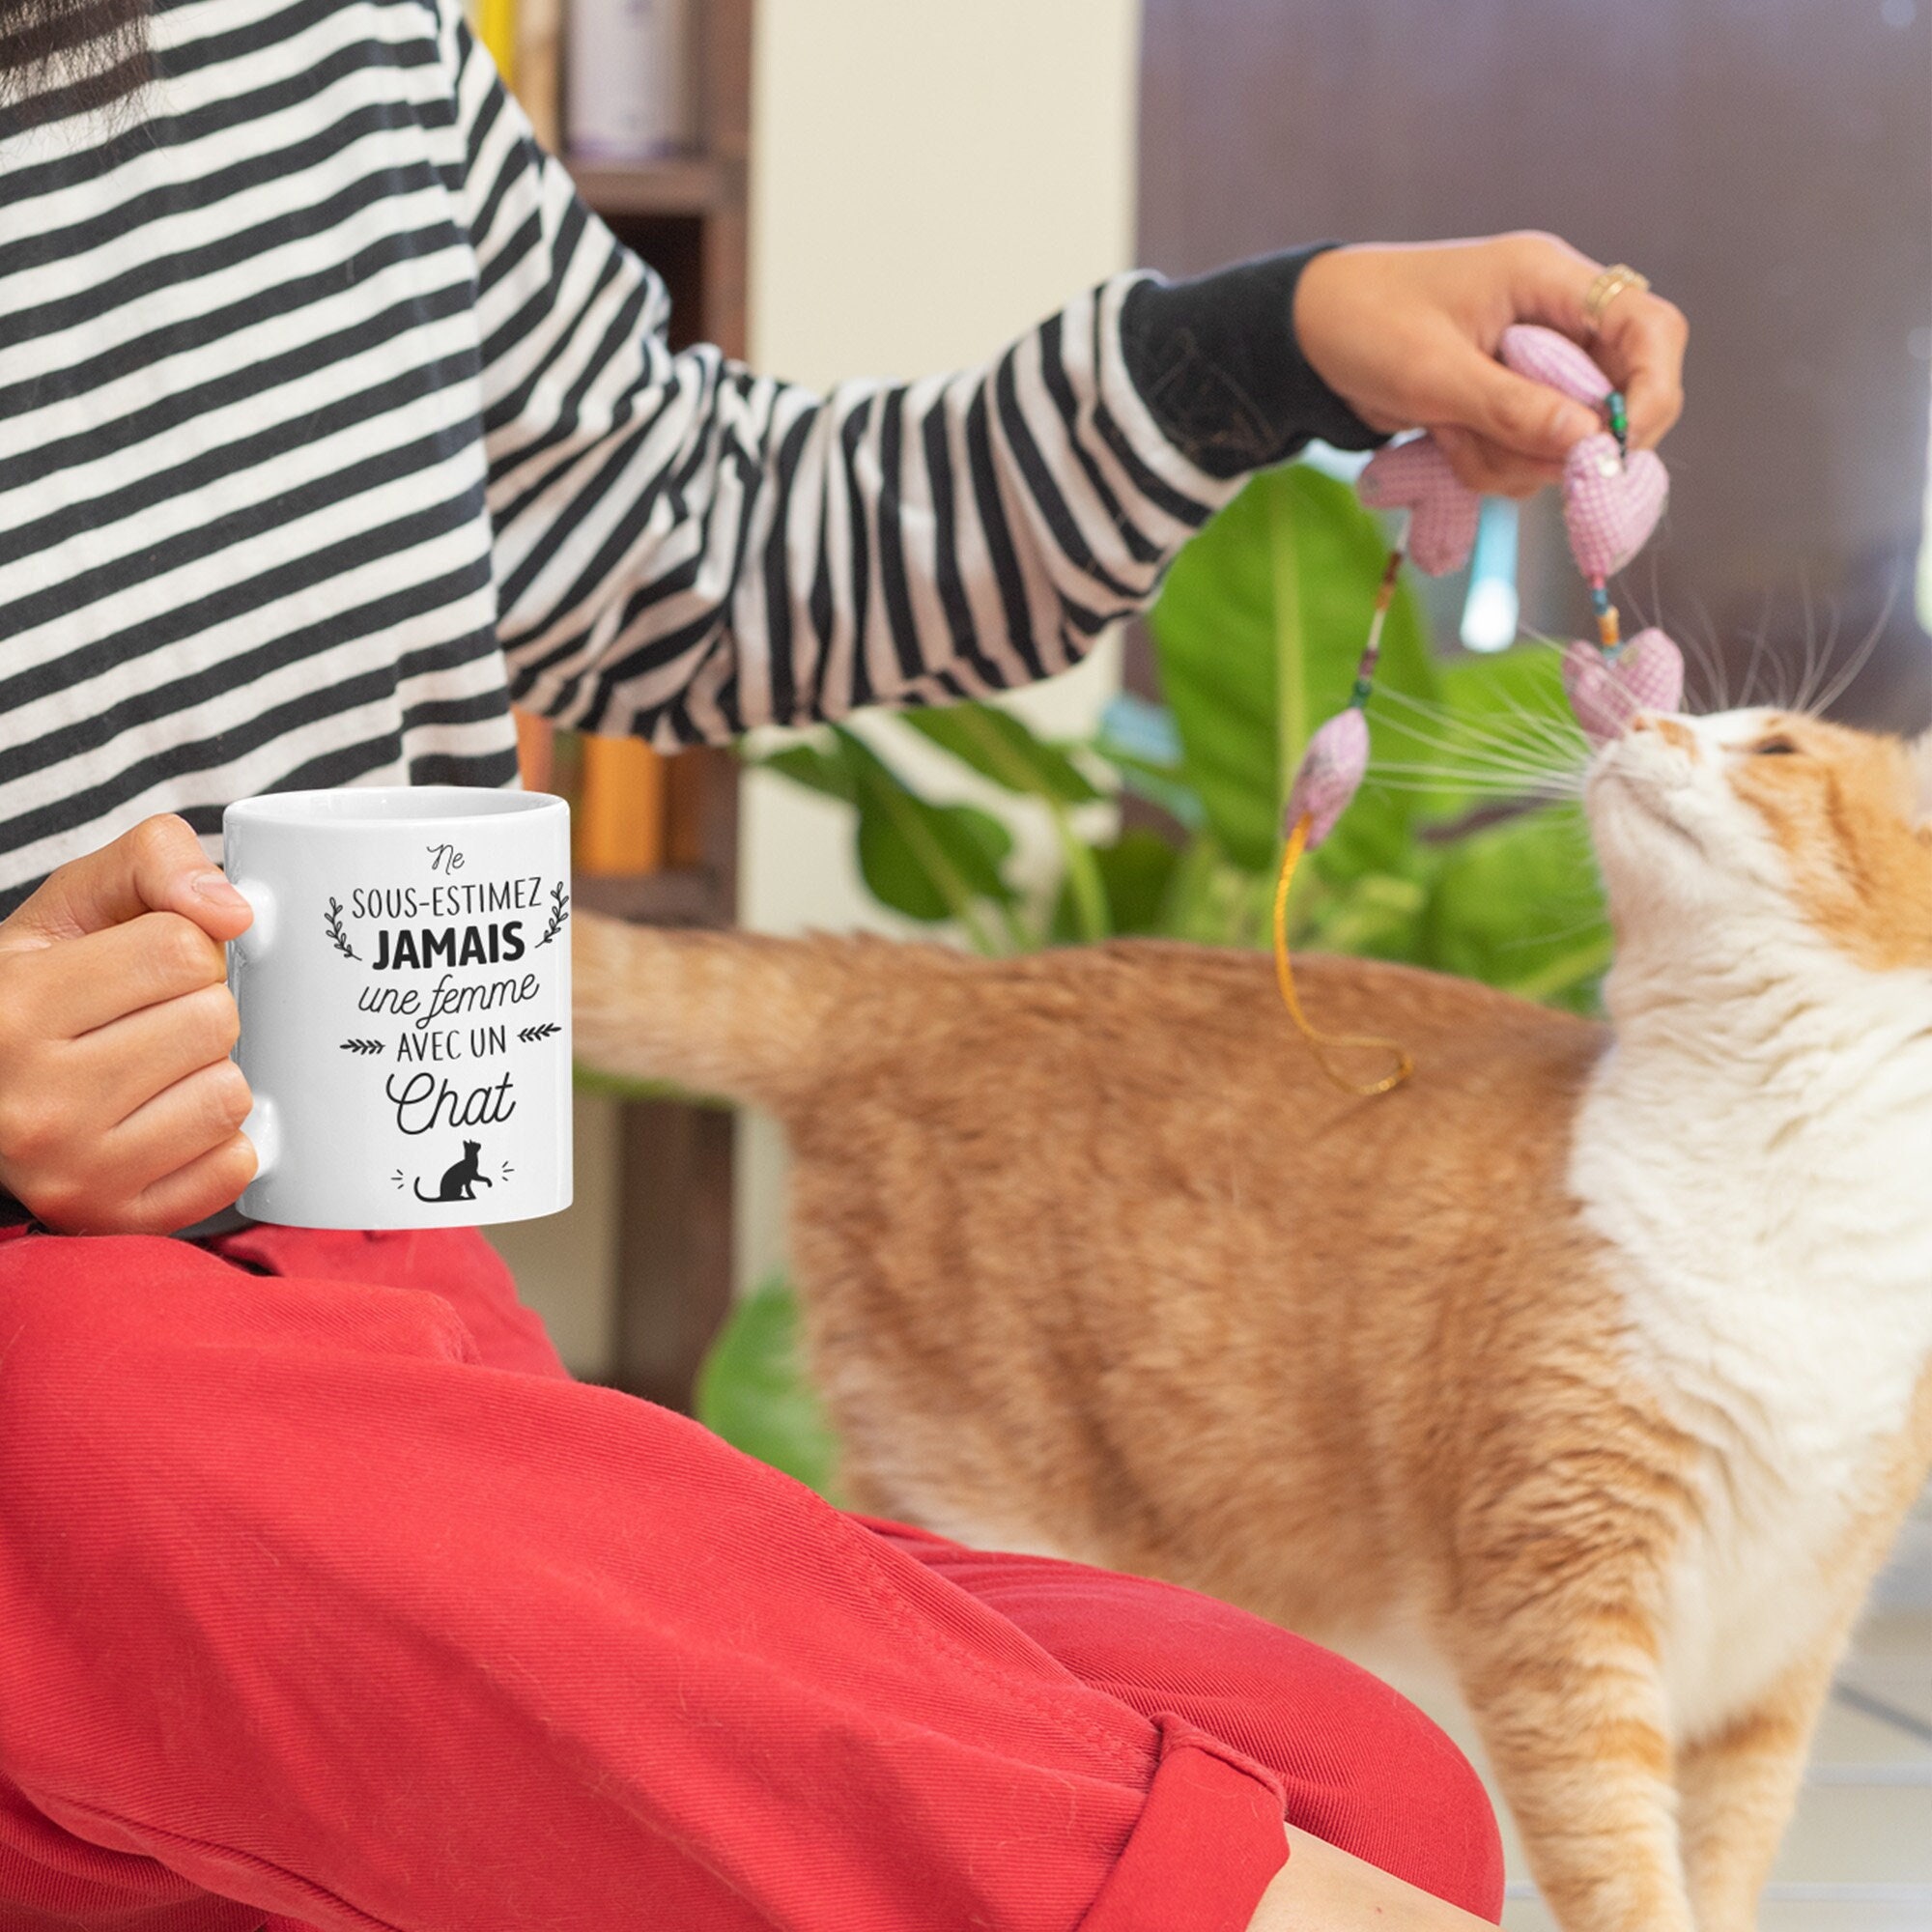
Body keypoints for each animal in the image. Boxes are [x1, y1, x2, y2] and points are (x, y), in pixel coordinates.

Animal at [572, 711, 1932, 1932]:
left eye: (1773, 748)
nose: (1635, 715)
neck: (1783, 1175)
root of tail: (943, 981)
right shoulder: (1560, 1617)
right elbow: (1626, 1875)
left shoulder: (1777, 1655)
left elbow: (1725, 1866)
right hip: (988, 1487)